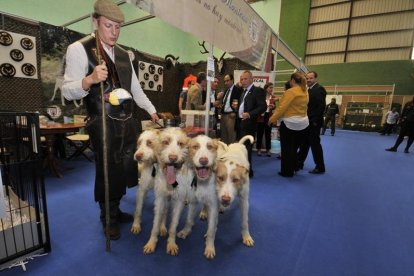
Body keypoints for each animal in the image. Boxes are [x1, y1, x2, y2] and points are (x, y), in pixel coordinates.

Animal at [142, 128, 194, 256]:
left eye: (180, 143)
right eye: (165, 142)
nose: (173, 158)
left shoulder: (178, 201)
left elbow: (173, 226)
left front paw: (171, 243)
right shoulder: (161, 198)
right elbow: (156, 223)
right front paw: (151, 242)